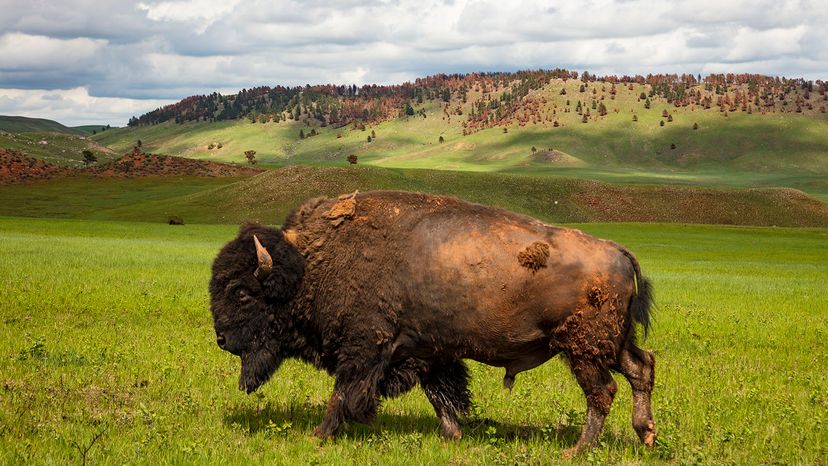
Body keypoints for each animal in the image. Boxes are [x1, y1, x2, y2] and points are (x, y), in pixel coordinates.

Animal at [210, 190, 656, 456]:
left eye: (242, 292)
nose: (221, 339)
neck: (308, 265)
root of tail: (617, 250)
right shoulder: (427, 352)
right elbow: (440, 395)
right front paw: (454, 436)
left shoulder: (363, 348)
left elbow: (342, 394)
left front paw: (319, 435)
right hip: (610, 344)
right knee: (641, 368)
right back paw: (646, 434)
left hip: (583, 349)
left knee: (603, 392)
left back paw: (578, 450)